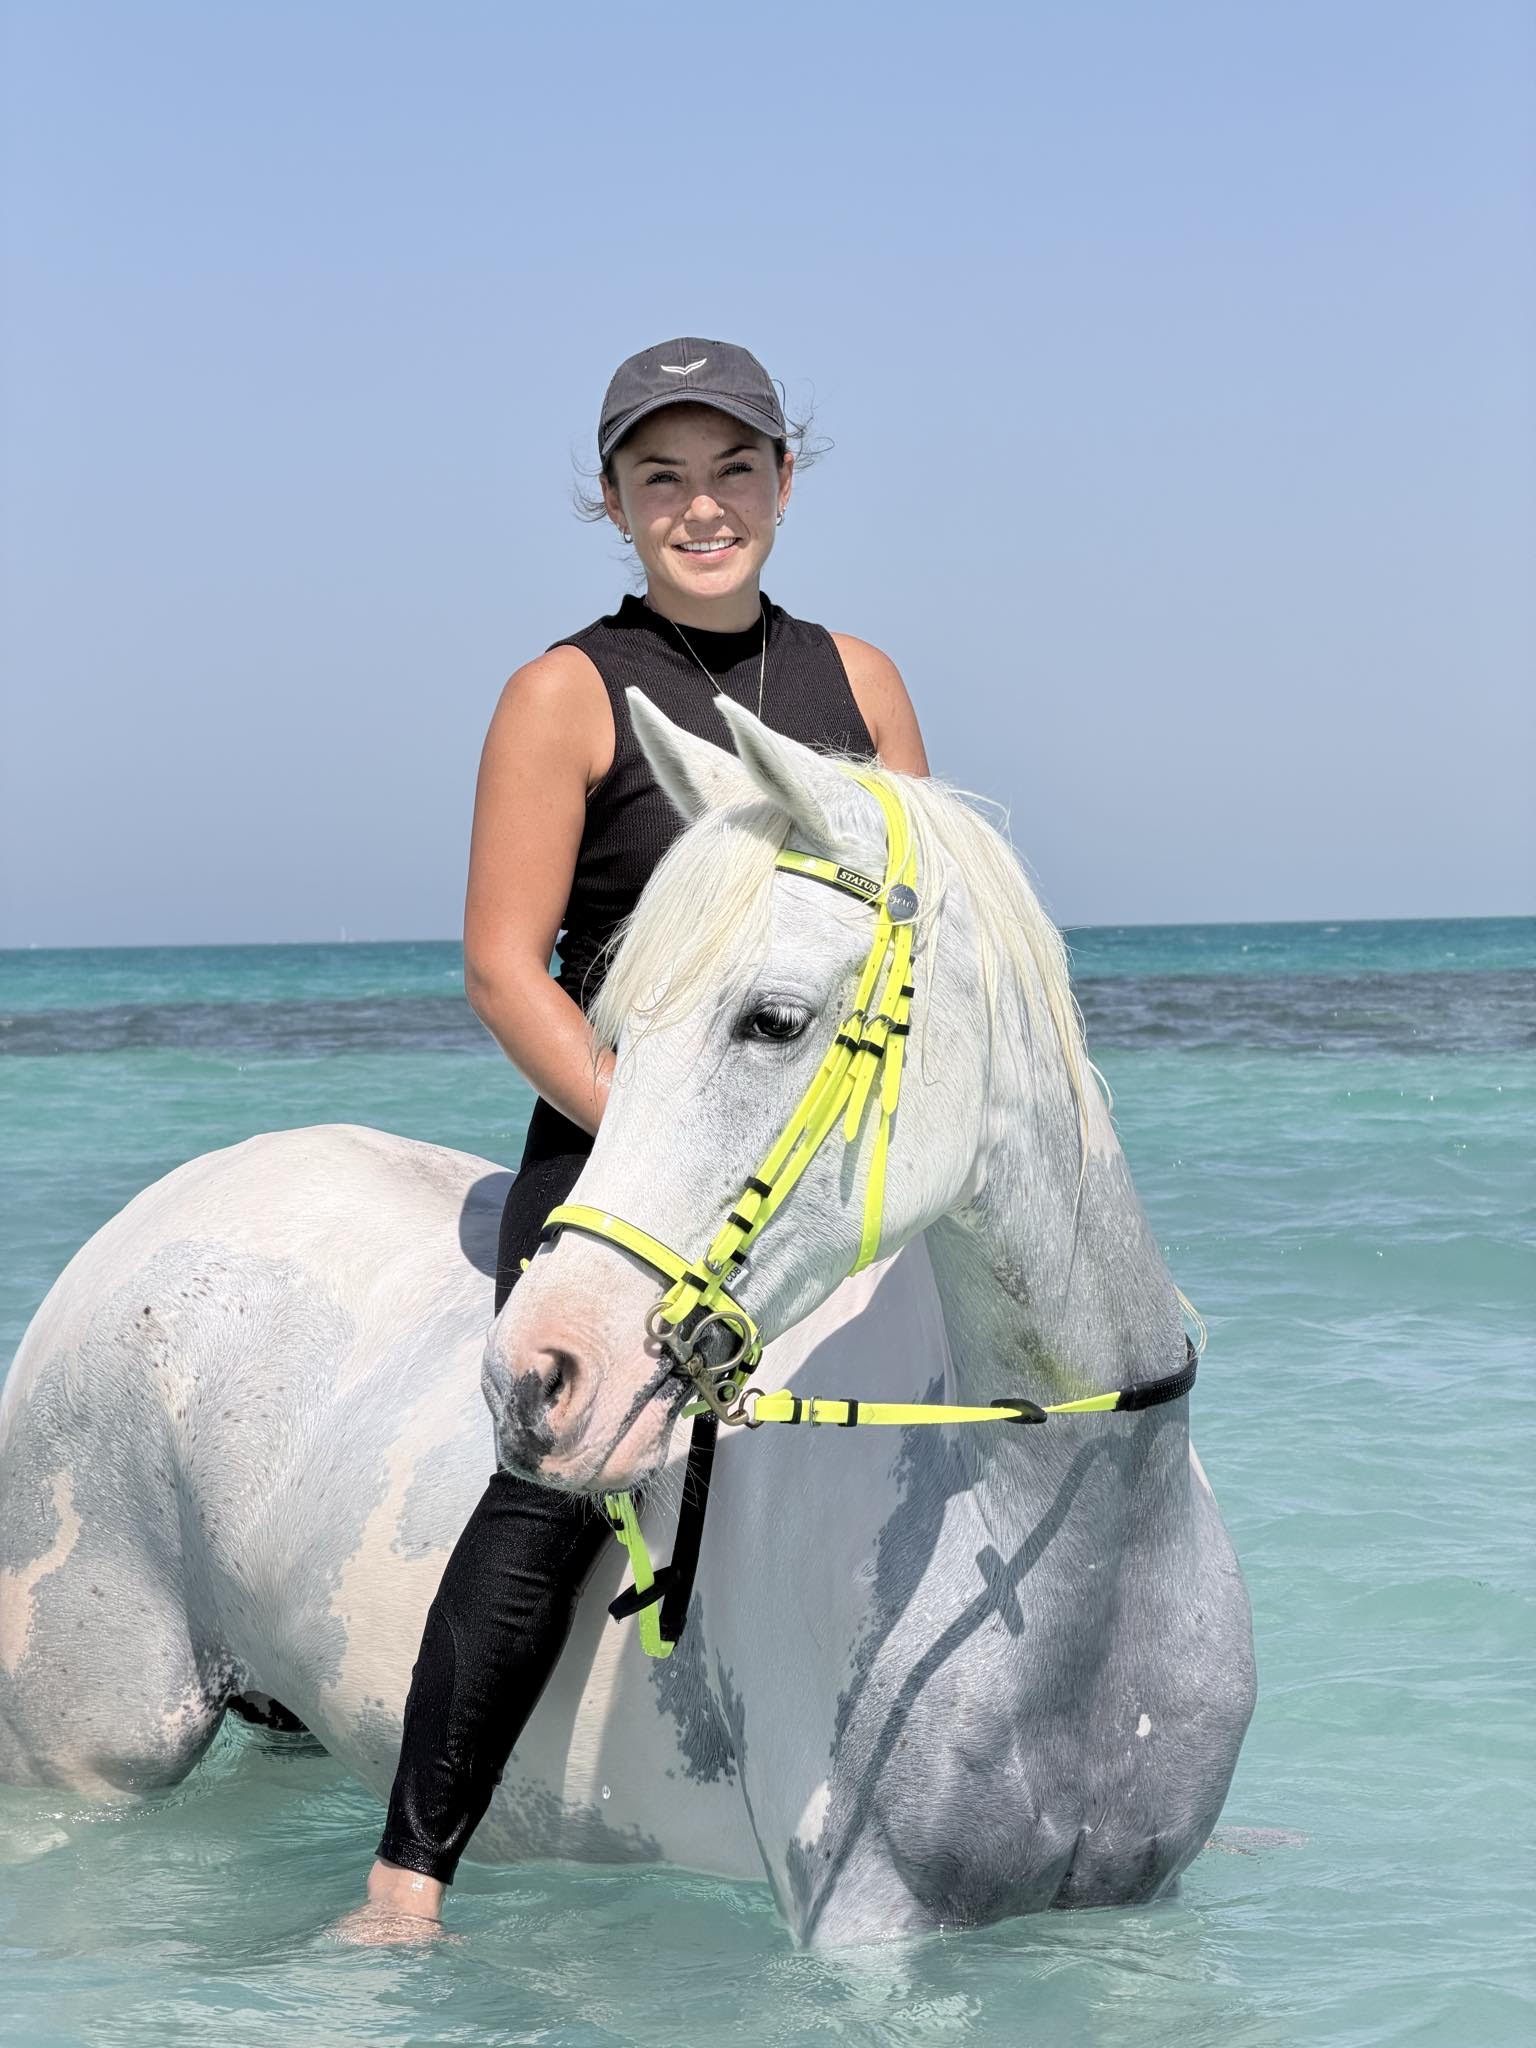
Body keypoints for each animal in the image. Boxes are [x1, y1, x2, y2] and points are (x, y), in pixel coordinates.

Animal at [0, 697, 1255, 1944]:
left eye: (774, 1020)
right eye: (618, 1031)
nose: (533, 1374)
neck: (1068, 1536)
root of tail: (141, 1223)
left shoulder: (1141, 1902)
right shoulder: (865, 1925)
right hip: (89, 1753)